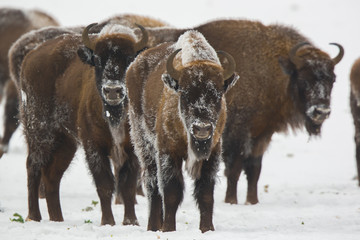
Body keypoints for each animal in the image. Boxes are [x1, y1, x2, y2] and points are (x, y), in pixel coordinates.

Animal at [126, 30, 239, 232]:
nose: (202, 128)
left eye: (218, 95)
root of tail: (134, 66)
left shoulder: (213, 153)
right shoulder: (168, 153)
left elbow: (205, 194)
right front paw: (168, 229)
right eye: (185, 94)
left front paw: (207, 229)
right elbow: (171, 192)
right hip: (144, 144)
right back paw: (153, 226)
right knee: (153, 186)